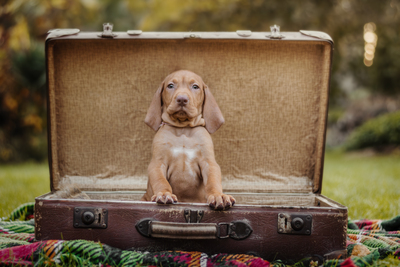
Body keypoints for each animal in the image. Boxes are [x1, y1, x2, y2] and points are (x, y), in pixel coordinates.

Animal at [141, 70, 234, 210]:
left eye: (195, 87)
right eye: (170, 86)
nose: (182, 99)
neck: (183, 130)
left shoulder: (209, 163)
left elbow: (212, 182)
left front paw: (218, 196)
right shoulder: (158, 163)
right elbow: (161, 181)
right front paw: (164, 194)